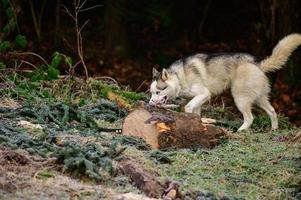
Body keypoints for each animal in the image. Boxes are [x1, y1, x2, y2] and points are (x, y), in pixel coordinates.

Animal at [149, 33, 300, 131]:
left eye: (158, 91)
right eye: (151, 93)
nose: (150, 103)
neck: (180, 78)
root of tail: (257, 64)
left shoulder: (204, 94)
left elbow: (188, 107)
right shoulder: (199, 100)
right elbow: (195, 113)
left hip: (240, 99)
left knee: (250, 118)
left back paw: (240, 131)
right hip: (259, 99)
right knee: (273, 111)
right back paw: (274, 130)